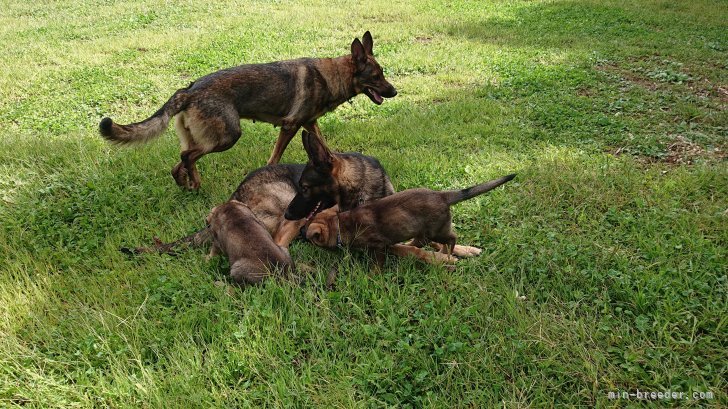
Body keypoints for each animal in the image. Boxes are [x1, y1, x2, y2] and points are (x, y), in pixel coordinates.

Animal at [99, 31, 396, 189]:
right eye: (376, 76)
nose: (394, 92)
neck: (329, 76)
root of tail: (189, 90)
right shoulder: (290, 126)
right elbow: (275, 157)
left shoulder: (309, 124)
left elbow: (324, 145)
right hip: (227, 137)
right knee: (187, 156)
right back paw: (197, 184)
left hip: (204, 138)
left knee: (179, 162)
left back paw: (187, 184)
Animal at [304, 173, 516, 262]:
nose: (301, 232)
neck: (339, 225)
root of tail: (443, 195)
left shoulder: (379, 246)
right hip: (425, 231)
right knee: (424, 242)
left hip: (436, 230)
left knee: (450, 238)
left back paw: (445, 251)